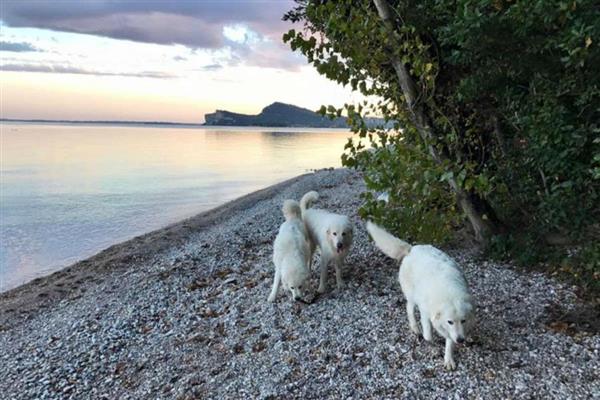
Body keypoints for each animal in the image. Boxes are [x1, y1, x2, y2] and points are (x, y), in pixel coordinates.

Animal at [366, 221, 474, 370]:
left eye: (463, 321)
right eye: (450, 322)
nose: (460, 340)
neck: (449, 293)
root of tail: (412, 249)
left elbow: (449, 340)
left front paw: (448, 358)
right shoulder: (426, 311)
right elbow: (428, 334)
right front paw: (431, 344)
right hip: (412, 296)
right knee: (409, 309)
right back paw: (415, 328)